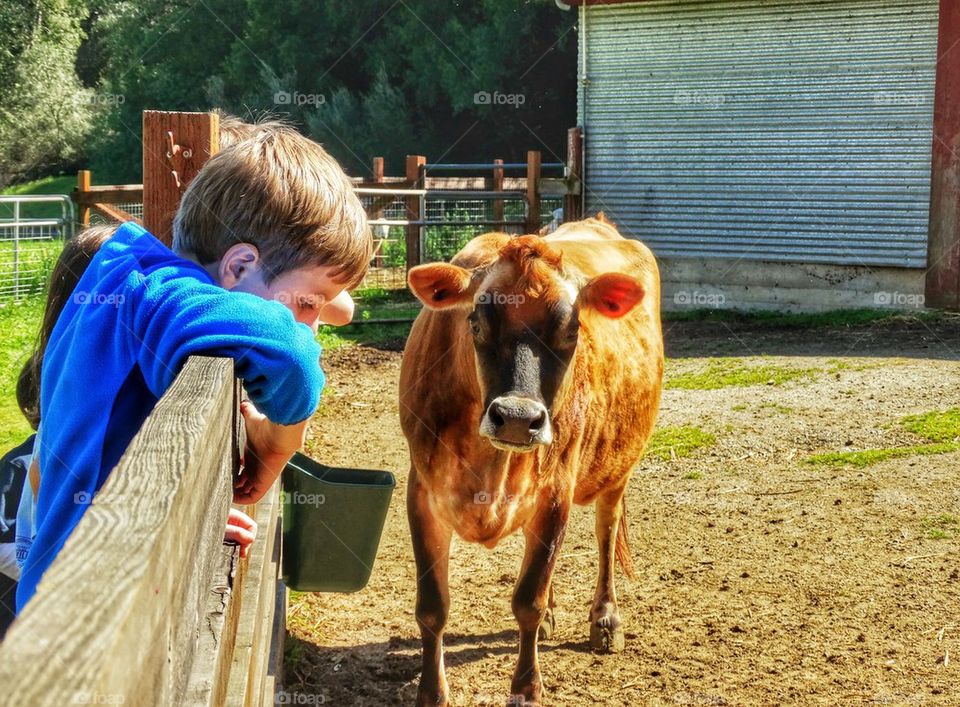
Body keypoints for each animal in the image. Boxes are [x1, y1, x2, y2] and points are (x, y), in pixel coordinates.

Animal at [398, 217, 660, 707]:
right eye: (476, 320)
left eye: (573, 329)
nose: (518, 419)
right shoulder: (421, 491)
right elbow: (433, 606)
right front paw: (432, 692)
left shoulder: (555, 492)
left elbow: (527, 602)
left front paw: (526, 688)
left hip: (618, 467)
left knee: (606, 530)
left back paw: (605, 618)